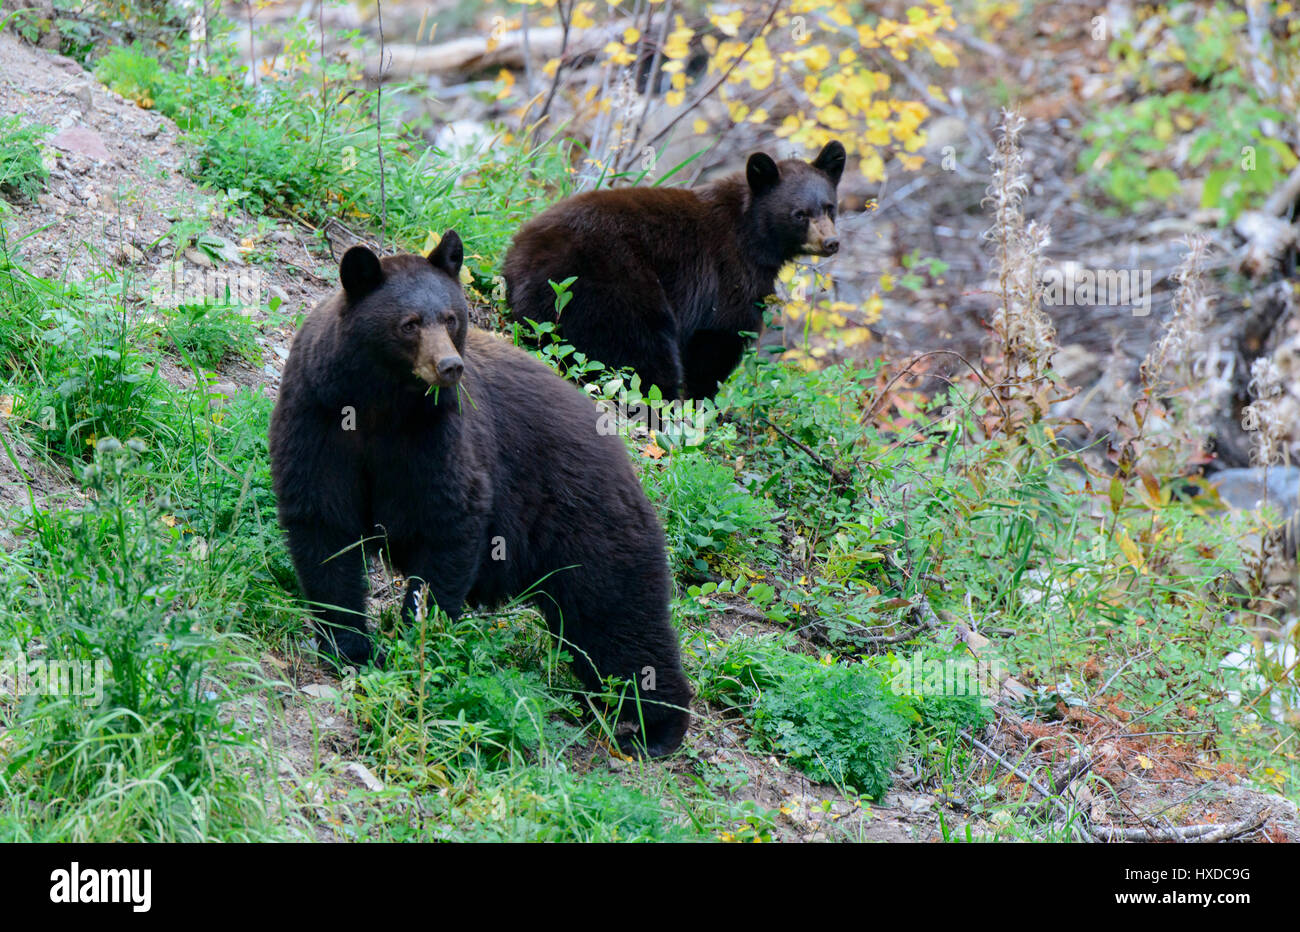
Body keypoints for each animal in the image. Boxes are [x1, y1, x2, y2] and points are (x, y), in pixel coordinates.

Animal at [269, 232, 692, 757]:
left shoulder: (439, 434)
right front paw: (350, 646)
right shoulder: (317, 414)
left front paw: (417, 638)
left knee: (620, 622)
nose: (449, 365)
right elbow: (323, 525)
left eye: (451, 317)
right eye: (409, 323)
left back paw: (656, 727)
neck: (379, 404)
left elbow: (450, 520)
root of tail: (627, 459)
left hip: (592, 527)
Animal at [503, 140, 846, 400]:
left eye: (830, 207)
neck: (752, 232)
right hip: (612, 286)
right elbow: (719, 339)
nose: (831, 242)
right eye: (800, 214)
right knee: (640, 351)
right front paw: (702, 402)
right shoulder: (729, 273)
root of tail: (523, 265)